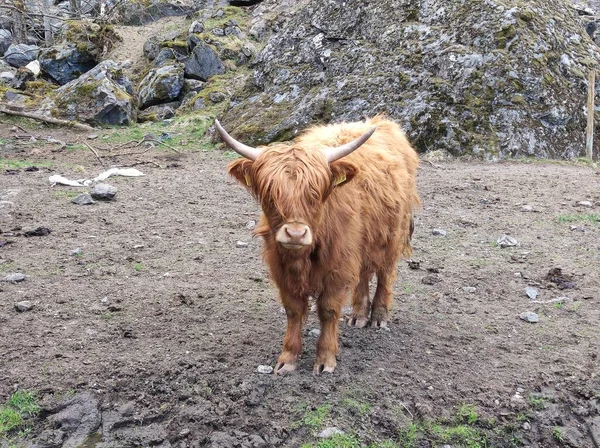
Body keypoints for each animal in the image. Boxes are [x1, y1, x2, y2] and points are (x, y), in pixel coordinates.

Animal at [218, 114, 420, 374]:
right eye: (271, 194)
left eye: (314, 194)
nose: (295, 234)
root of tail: (382, 123)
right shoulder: (281, 266)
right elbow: (293, 310)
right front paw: (288, 358)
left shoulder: (339, 265)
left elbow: (328, 310)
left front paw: (325, 360)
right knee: (364, 275)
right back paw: (359, 315)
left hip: (391, 236)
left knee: (385, 274)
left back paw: (378, 317)